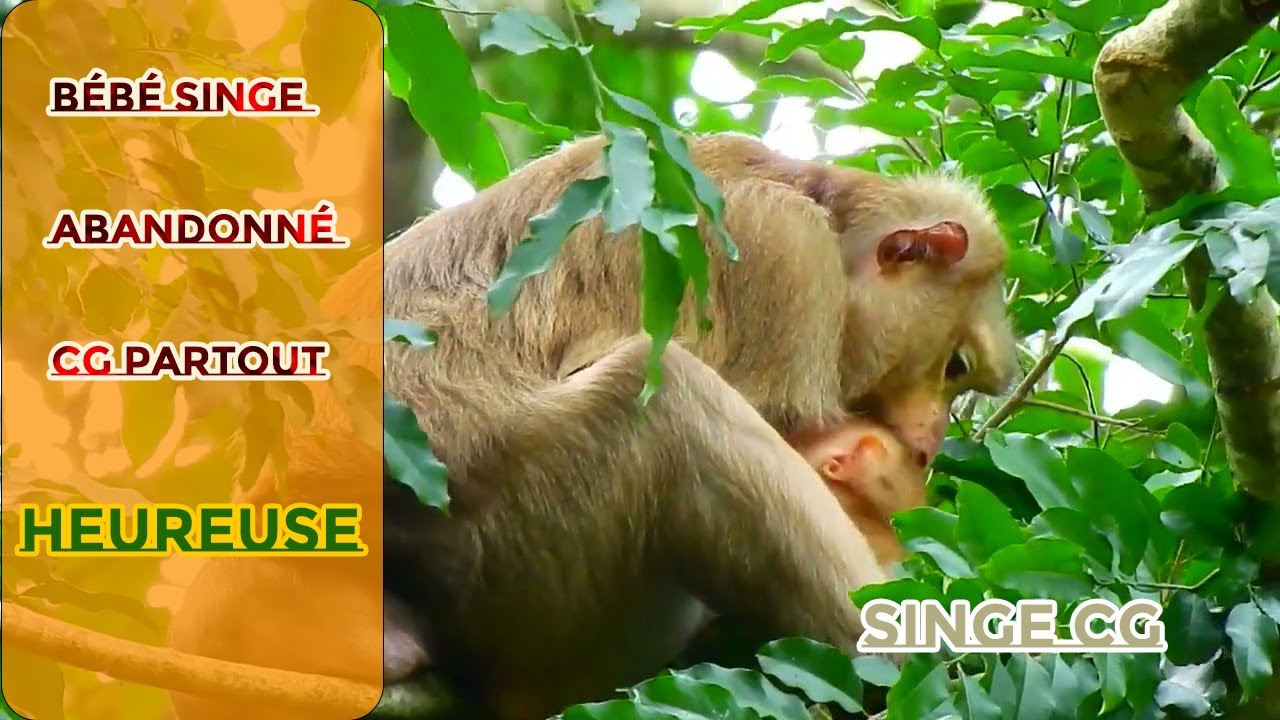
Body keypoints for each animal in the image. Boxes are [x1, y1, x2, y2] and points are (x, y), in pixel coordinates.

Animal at [168, 131, 1019, 720]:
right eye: (954, 367)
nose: (929, 440)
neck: (812, 195)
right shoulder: (780, 257)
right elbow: (785, 422)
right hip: (521, 561)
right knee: (666, 397)